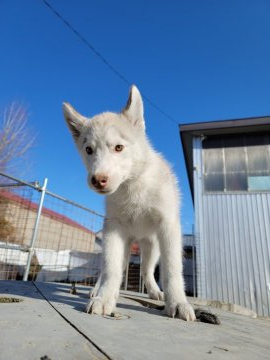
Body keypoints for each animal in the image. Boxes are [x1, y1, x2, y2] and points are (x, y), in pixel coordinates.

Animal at [62, 86, 195, 320]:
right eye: (89, 150)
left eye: (118, 147)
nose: (98, 180)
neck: (133, 187)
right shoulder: (114, 228)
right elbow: (112, 269)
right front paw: (104, 298)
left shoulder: (168, 226)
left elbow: (171, 269)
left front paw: (178, 303)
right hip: (119, 241)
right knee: (110, 267)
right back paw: (97, 289)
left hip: (151, 245)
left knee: (146, 270)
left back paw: (154, 292)